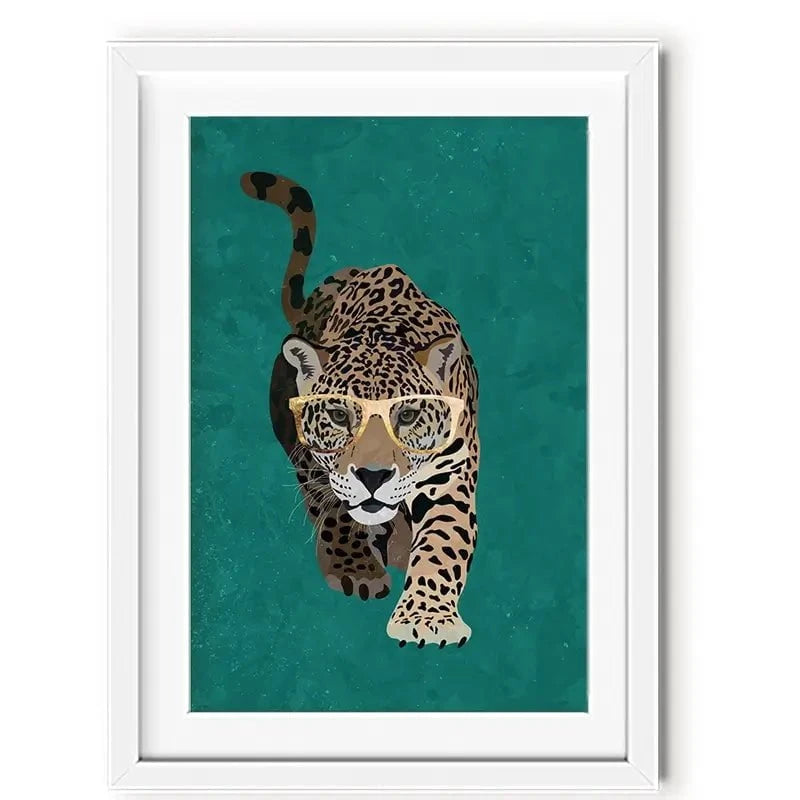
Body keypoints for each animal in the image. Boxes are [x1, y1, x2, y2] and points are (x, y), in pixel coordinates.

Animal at [241, 171, 480, 648]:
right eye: (338, 415)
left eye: (407, 415)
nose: (373, 477)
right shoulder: (316, 462)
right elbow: (335, 510)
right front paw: (356, 569)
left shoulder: (451, 474)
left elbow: (443, 542)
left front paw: (427, 619)